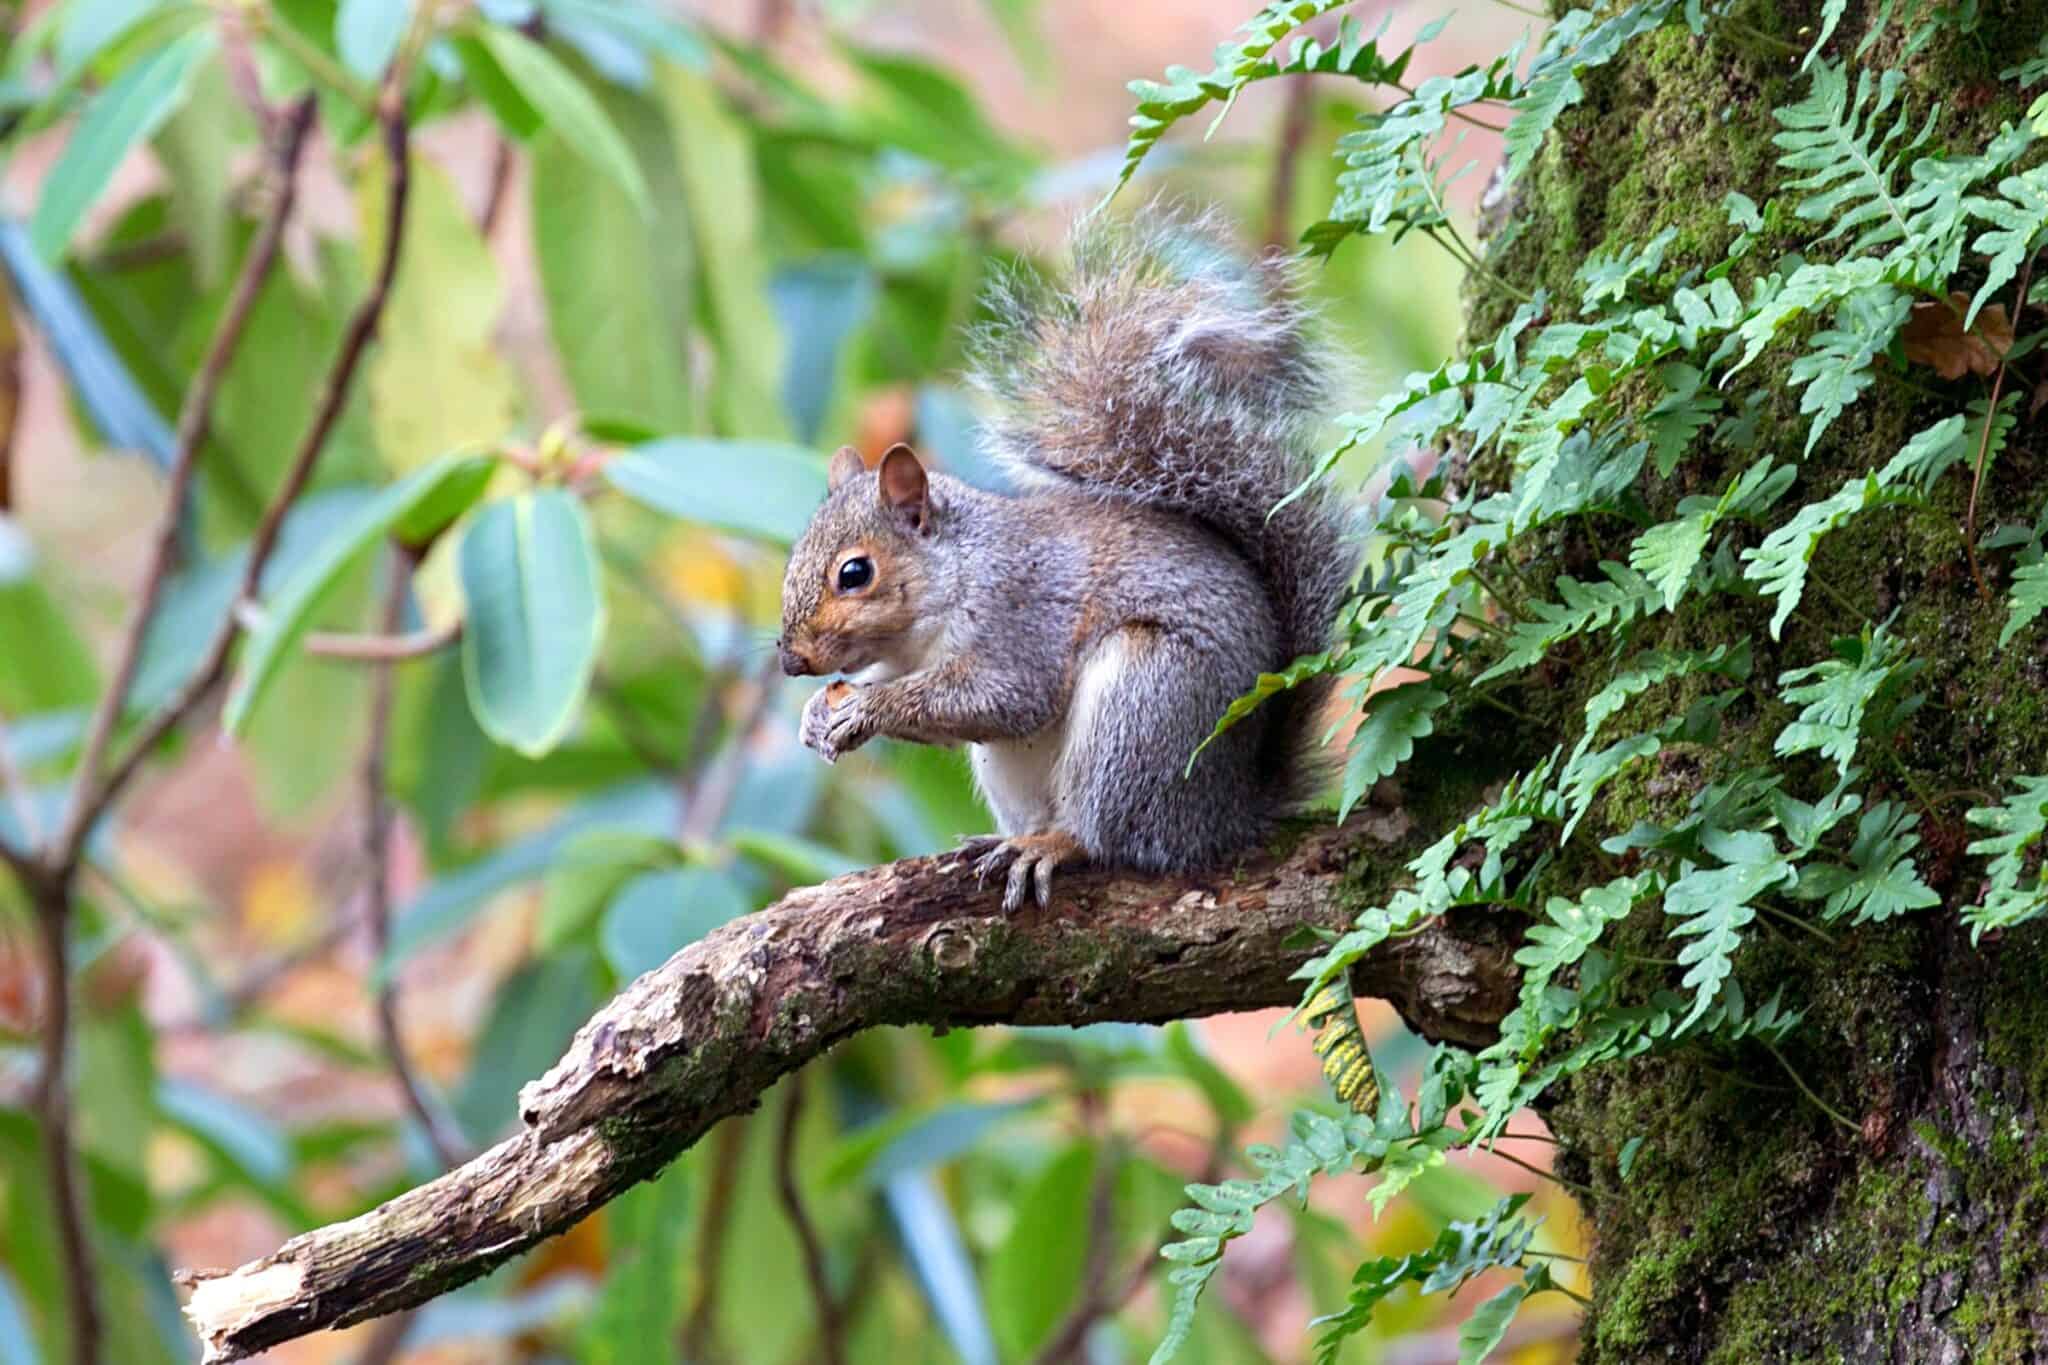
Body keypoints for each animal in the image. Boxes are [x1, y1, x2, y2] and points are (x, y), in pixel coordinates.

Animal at [776, 211, 1355, 911]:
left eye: (854, 574)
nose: (790, 660)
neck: (954, 580)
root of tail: (1227, 813)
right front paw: (818, 713)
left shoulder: (1018, 619)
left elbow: (1003, 698)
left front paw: (866, 709)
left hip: (1143, 709)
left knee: (1112, 836)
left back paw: (1055, 845)